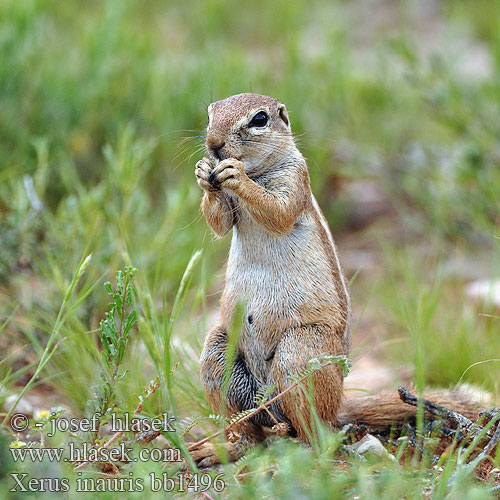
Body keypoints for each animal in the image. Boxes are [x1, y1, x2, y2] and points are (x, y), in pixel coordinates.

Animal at [191, 94, 480, 468]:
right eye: (210, 112)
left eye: (259, 119)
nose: (213, 144)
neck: (259, 170)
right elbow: (220, 223)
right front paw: (203, 172)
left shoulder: (295, 180)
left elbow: (278, 211)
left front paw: (234, 174)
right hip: (219, 352)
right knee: (252, 434)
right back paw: (220, 449)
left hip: (301, 350)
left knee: (316, 434)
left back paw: (302, 452)